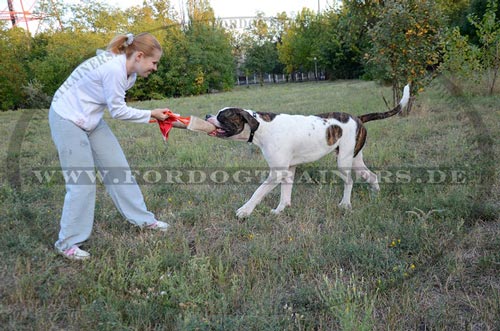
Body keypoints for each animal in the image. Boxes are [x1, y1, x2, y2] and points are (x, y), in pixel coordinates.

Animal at [205, 85, 408, 218]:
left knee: (349, 181)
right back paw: (375, 196)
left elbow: (258, 192)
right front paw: (280, 210)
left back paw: (345, 204)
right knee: (372, 176)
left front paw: (245, 211)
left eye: (222, 116)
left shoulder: (276, 173)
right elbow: (285, 194)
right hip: (356, 159)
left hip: (343, 162)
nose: (207, 115)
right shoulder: (288, 170)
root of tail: (357, 118)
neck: (262, 127)